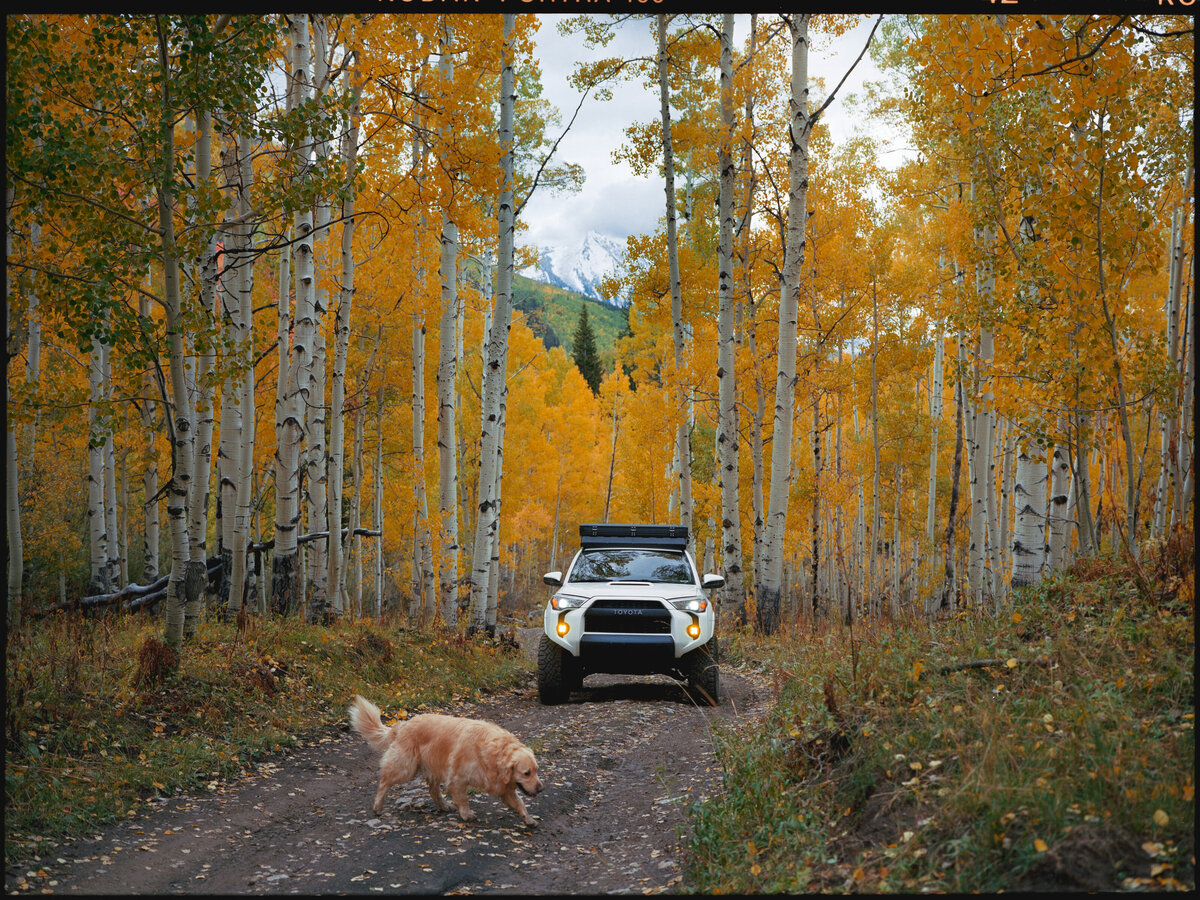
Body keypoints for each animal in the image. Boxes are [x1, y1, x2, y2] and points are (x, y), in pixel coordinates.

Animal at [348, 696, 544, 830]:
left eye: (536, 770)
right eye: (526, 773)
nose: (541, 789)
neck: (493, 752)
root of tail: (403, 725)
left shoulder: (503, 788)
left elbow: (520, 804)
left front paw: (528, 819)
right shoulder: (457, 777)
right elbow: (463, 798)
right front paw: (466, 814)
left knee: (433, 791)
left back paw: (443, 806)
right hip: (405, 767)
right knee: (384, 781)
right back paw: (377, 806)